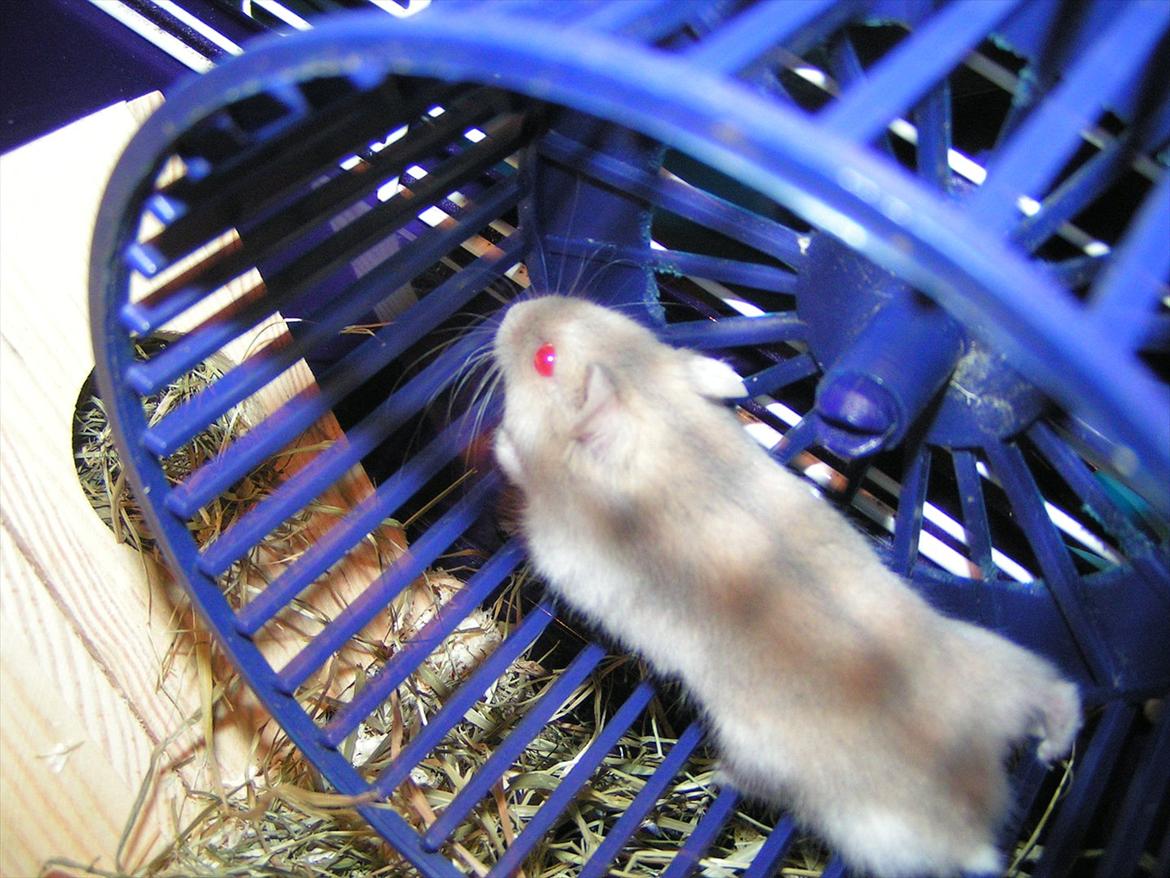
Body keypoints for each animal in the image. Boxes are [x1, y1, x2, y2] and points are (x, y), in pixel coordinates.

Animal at [490, 294, 1081, 878]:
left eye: (545, 358)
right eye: (611, 315)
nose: (513, 310)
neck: (668, 427)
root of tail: (979, 806)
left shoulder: (562, 552)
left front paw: (499, 441)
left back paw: (718, 776)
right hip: (1000, 663)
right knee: (1057, 695)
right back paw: (1053, 744)